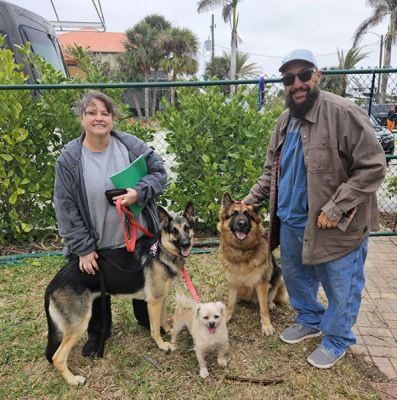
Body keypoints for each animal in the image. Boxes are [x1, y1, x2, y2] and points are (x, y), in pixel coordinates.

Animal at [44, 203, 194, 384]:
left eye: (187, 228)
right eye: (174, 231)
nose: (185, 244)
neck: (161, 250)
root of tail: (52, 283)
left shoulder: (161, 299)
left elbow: (162, 320)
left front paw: (169, 331)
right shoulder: (154, 302)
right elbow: (155, 329)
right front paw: (162, 345)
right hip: (79, 324)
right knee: (58, 357)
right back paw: (73, 380)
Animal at [217, 192, 288, 336]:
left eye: (248, 215)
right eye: (234, 214)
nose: (242, 224)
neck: (241, 252)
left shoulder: (261, 284)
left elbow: (263, 309)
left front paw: (266, 325)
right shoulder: (233, 282)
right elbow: (230, 303)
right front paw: (226, 316)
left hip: (279, 276)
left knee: (270, 297)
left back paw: (271, 304)